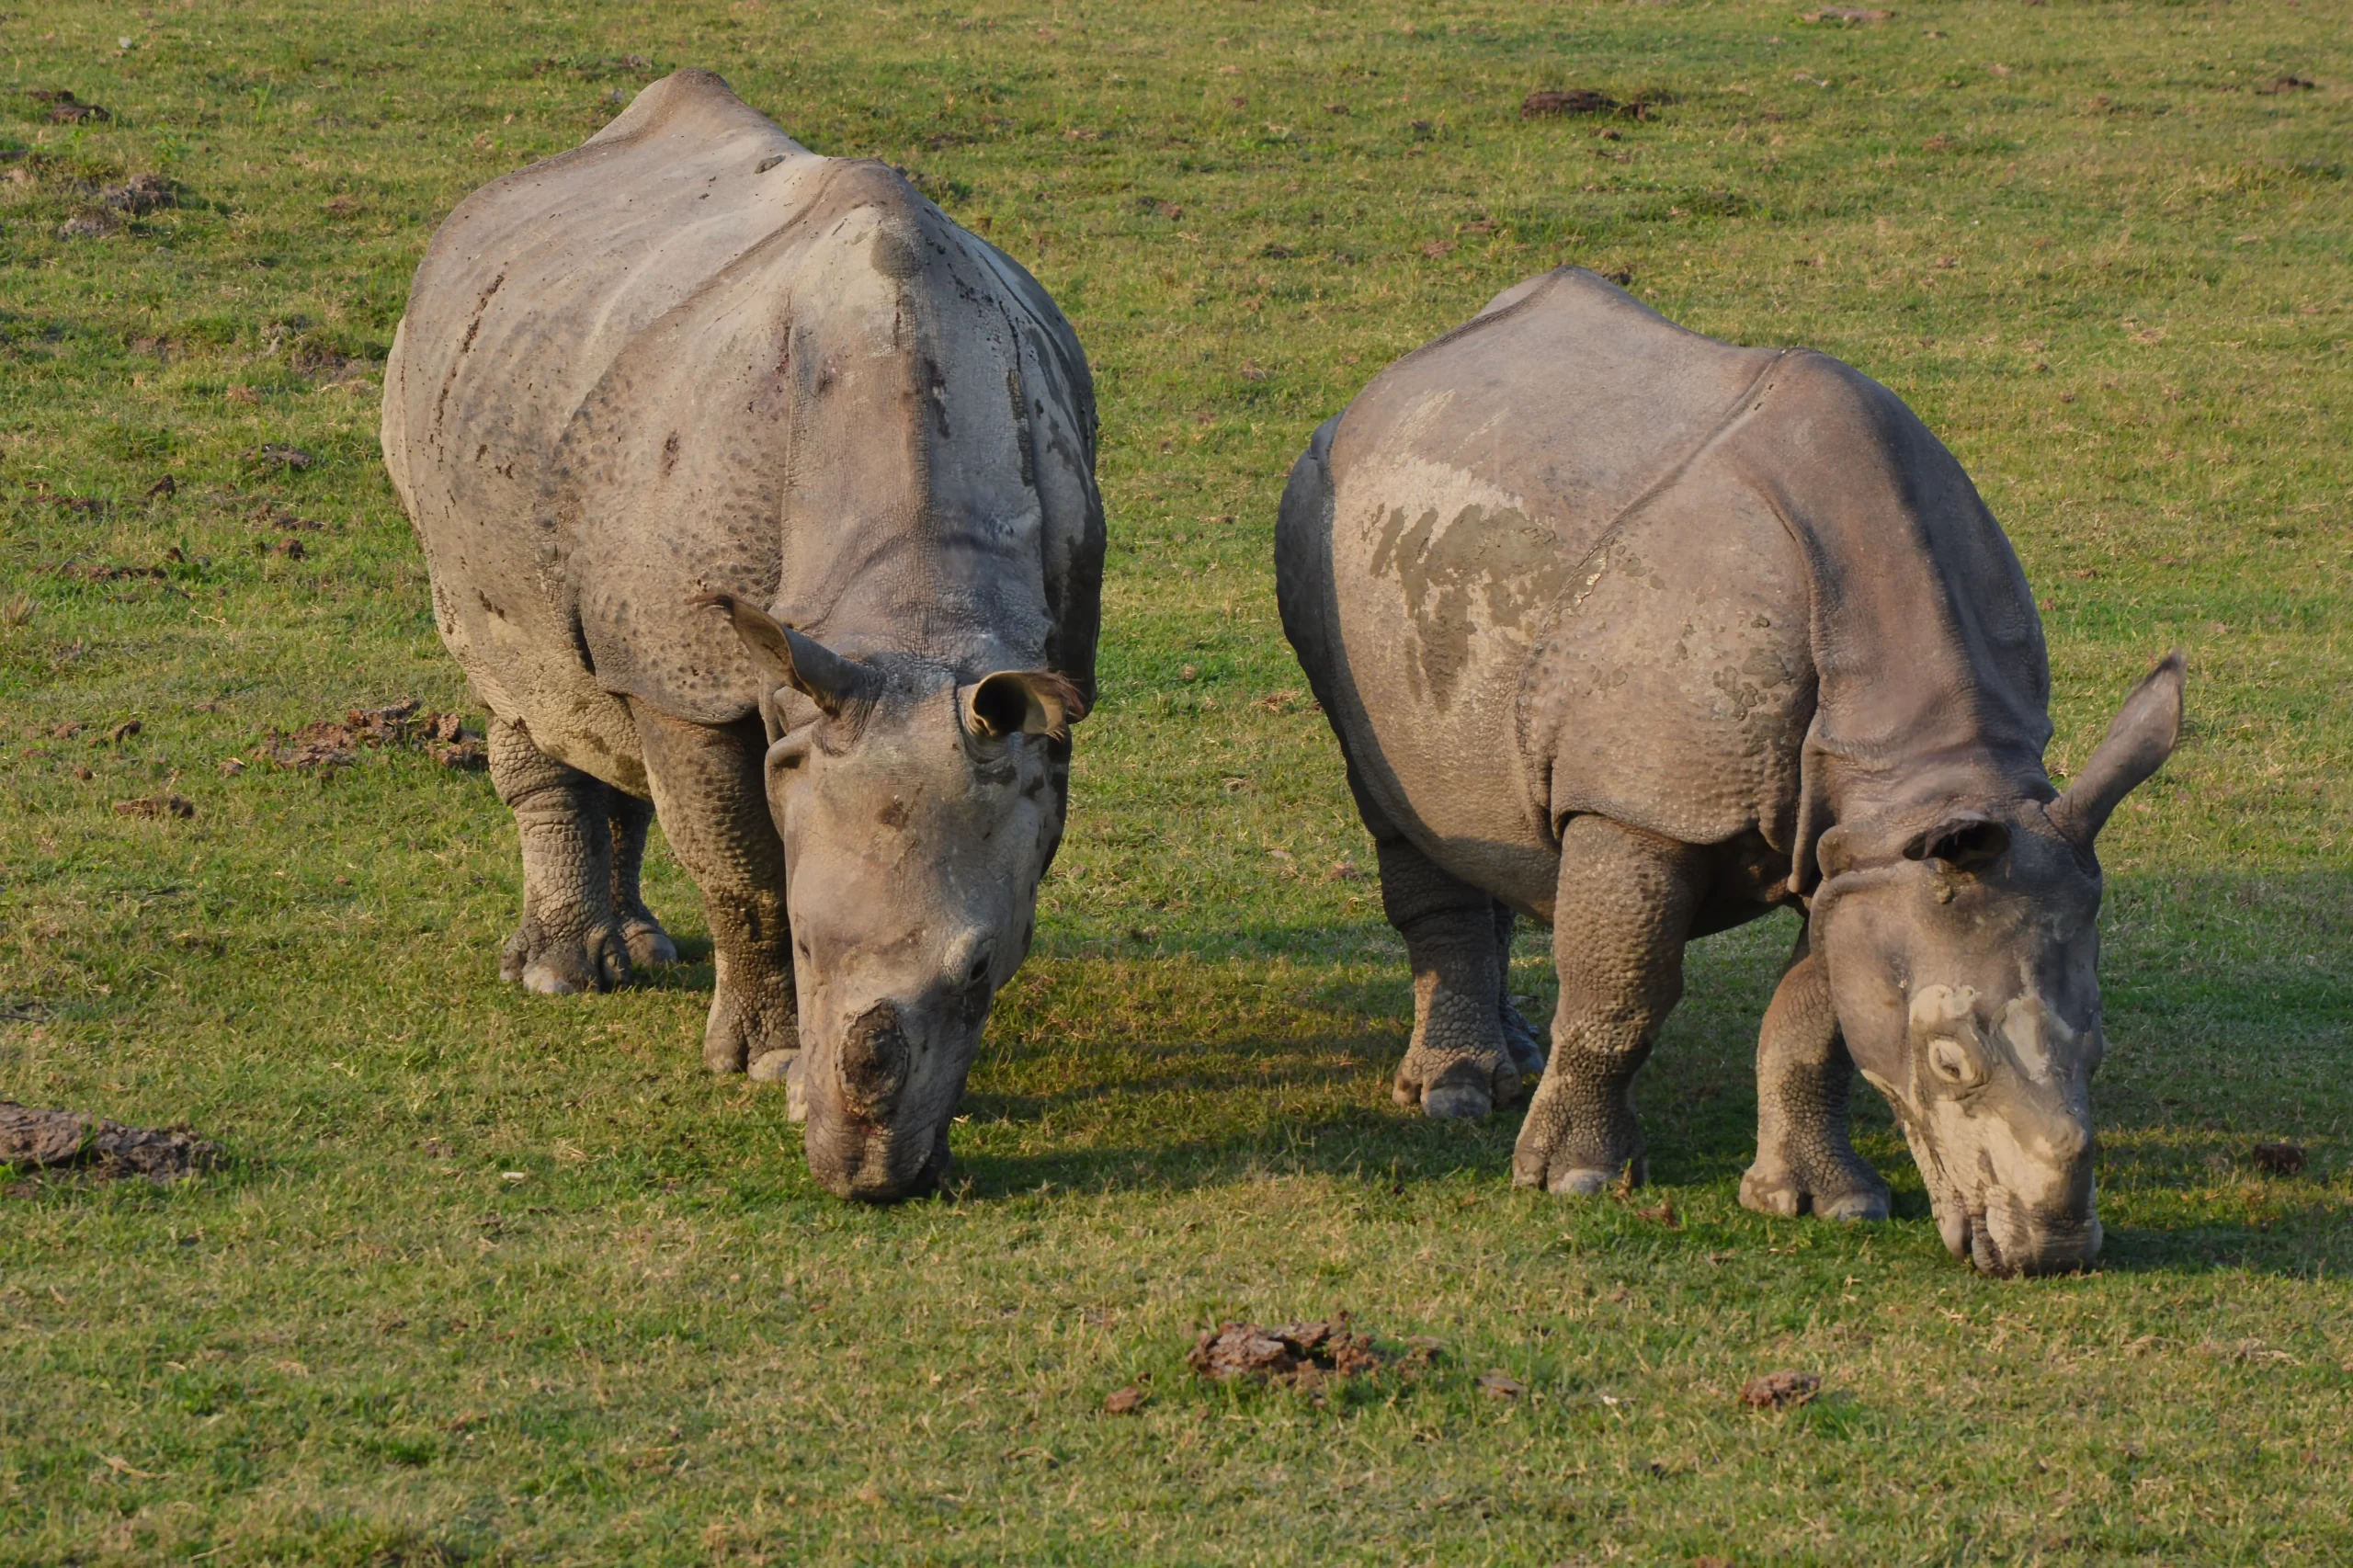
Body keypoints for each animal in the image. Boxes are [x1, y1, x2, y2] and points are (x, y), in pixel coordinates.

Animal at [381, 70, 1104, 1201]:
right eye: (808, 947)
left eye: (982, 967)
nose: (867, 1180)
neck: (913, 616)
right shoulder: (697, 674)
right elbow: (740, 868)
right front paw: (769, 1060)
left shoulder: (1043, 691)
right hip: (437, 414)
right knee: (521, 675)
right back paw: (557, 976)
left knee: (607, 701)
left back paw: (641, 954)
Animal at [1276, 267, 2183, 1276]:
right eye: (1951, 1062)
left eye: (2100, 1048)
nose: (2052, 1253)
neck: (1921, 764)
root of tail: (1385, 385)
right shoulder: (1643, 805)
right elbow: (1622, 992)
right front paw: (1576, 1180)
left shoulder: (1864, 853)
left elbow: (1816, 1020)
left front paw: (1824, 1203)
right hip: (1322, 518)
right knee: (1395, 802)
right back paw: (1458, 1095)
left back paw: (1509, 1060)